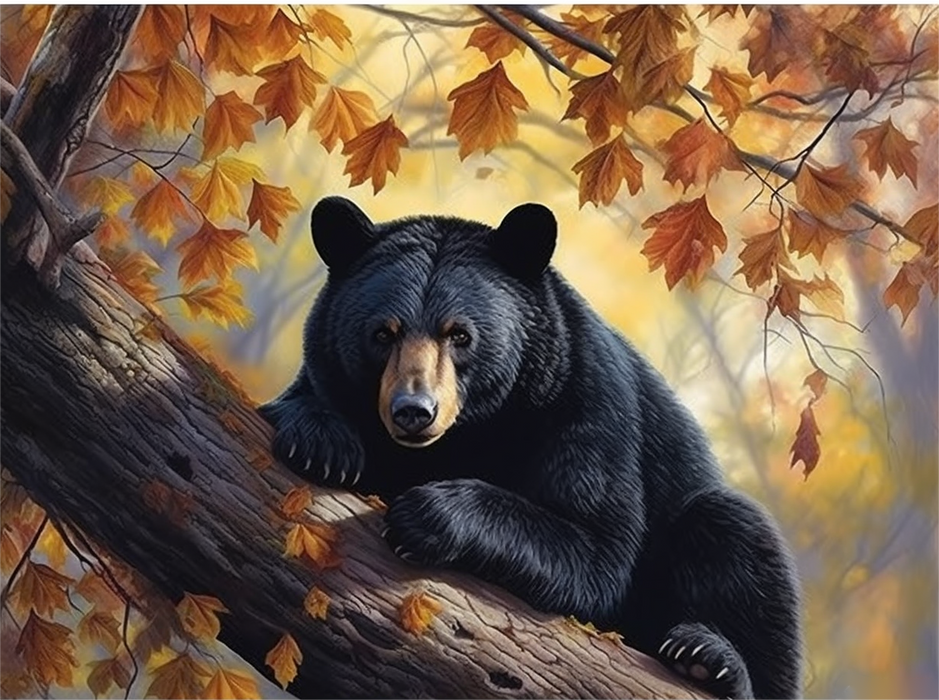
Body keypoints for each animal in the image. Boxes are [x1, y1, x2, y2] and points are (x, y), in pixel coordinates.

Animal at [259, 196, 804, 700]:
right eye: (382, 333)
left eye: (460, 334)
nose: (414, 410)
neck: (467, 434)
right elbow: (298, 403)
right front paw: (323, 443)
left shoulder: (586, 405)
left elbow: (596, 549)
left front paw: (426, 514)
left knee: (733, 538)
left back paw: (708, 657)